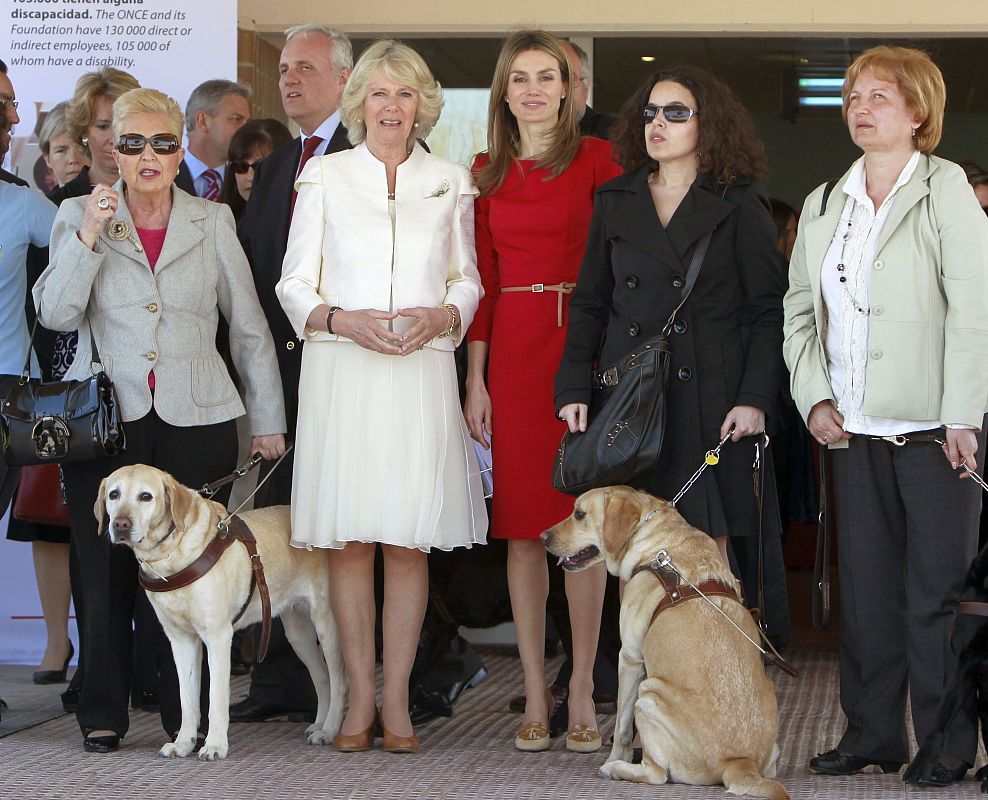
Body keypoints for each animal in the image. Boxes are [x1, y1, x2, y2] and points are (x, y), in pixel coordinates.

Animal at [96, 466, 344, 760]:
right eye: (114, 494)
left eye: (146, 496)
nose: (120, 525)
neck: (171, 554)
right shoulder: (181, 640)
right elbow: (187, 698)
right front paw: (184, 742)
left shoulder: (217, 637)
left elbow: (216, 697)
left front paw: (214, 745)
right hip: (298, 633)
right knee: (322, 678)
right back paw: (320, 724)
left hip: (326, 623)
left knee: (340, 679)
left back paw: (331, 730)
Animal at [540, 484, 788, 796]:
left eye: (579, 514)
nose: (542, 537)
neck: (656, 547)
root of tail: (740, 763)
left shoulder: (630, 657)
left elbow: (621, 728)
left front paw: (614, 758)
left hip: (648, 695)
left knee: (657, 774)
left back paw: (617, 769)